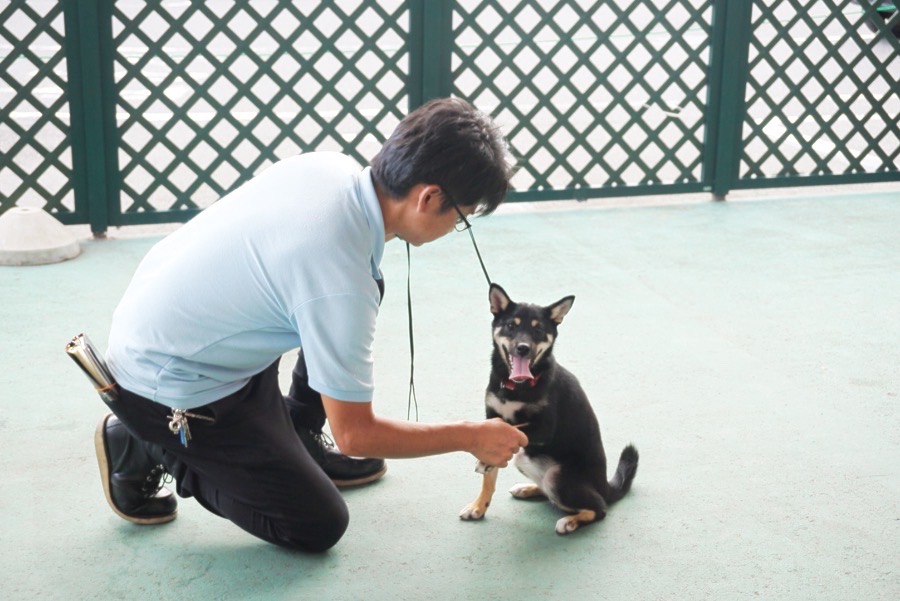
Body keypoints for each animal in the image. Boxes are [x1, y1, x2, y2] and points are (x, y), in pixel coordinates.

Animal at [458, 284, 640, 532]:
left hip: (557, 476)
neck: (516, 386)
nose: (523, 349)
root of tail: (605, 487)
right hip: (525, 458)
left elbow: (514, 430)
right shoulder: (493, 419)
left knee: (599, 508)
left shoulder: (544, 428)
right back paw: (528, 489)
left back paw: (571, 521)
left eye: (538, 330)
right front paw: (479, 506)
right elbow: (489, 478)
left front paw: (484, 462)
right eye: (511, 326)